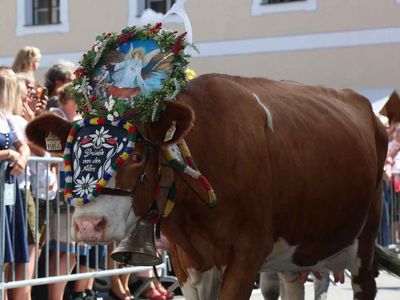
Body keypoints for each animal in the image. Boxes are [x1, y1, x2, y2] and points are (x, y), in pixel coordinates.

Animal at [26, 73, 398, 300]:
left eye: (137, 156)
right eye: (69, 157)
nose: (89, 224)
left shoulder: (247, 253)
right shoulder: (186, 260)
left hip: (365, 240)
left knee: (365, 283)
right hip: (293, 251)